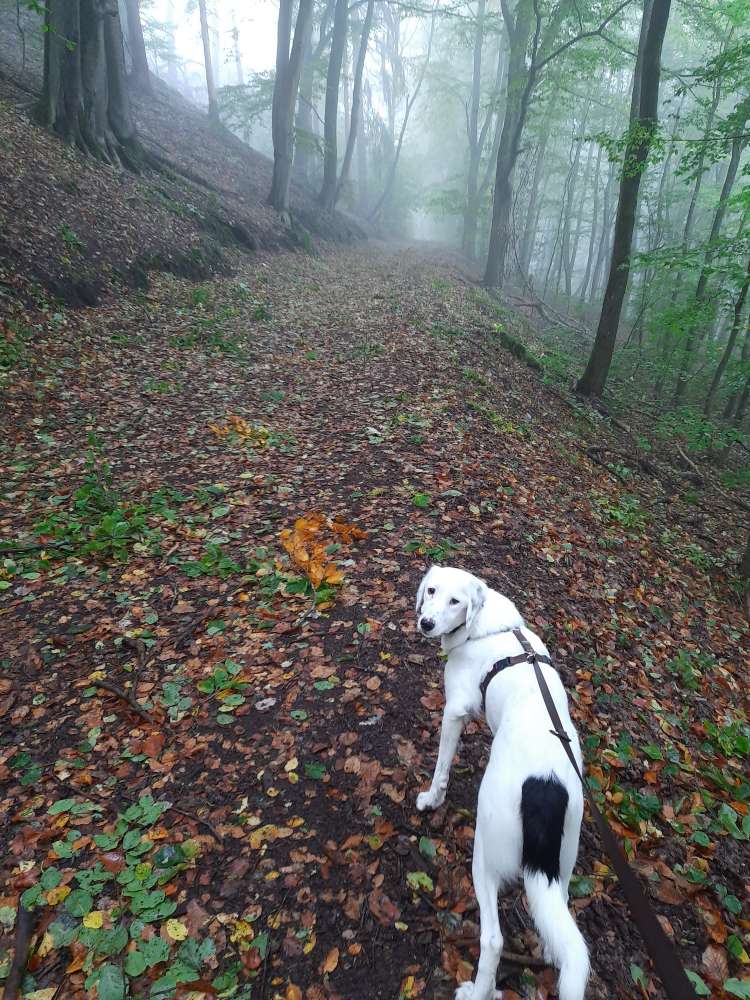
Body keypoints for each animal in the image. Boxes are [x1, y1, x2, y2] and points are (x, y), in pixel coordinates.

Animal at [418, 568, 588, 1000]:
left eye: (456, 602)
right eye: (431, 591)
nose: (425, 623)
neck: (487, 627)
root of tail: (545, 789)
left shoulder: (454, 711)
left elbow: (441, 765)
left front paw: (431, 798)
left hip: (485, 851)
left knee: (493, 940)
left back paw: (477, 991)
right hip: (561, 867)